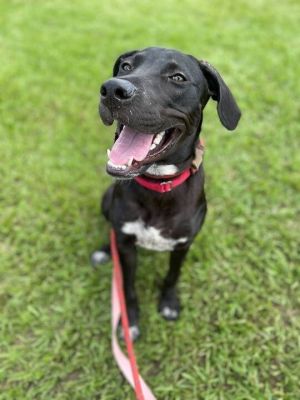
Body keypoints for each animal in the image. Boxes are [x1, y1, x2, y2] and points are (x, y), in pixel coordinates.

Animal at [92, 47, 241, 340]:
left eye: (178, 77)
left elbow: (173, 276)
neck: (159, 185)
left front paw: (169, 303)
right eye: (126, 66)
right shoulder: (127, 246)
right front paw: (130, 321)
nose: (112, 89)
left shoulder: (183, 245)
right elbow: (128, 286)